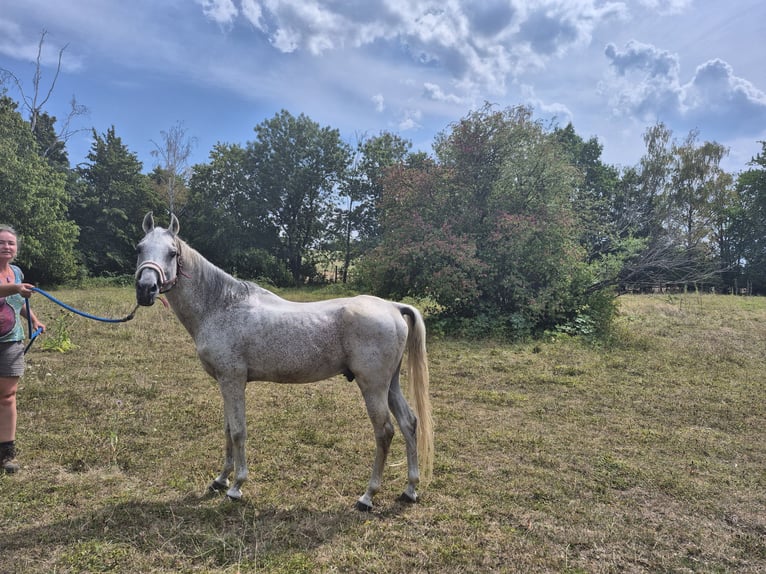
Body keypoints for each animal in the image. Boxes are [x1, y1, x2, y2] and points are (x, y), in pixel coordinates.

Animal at [134, 212, 434, 510]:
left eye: (172, 253)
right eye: (139, 248)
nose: (146, 289)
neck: (221, 306)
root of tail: (393, 306)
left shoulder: (233, 380)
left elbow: (238, 431)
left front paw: (237, 486)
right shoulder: (225, 383)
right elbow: (228, 429)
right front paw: (220, 480)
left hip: (372, 386)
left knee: (384, 432)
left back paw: (368, 496)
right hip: (389, 385)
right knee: (409, 423)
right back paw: (410, 489)